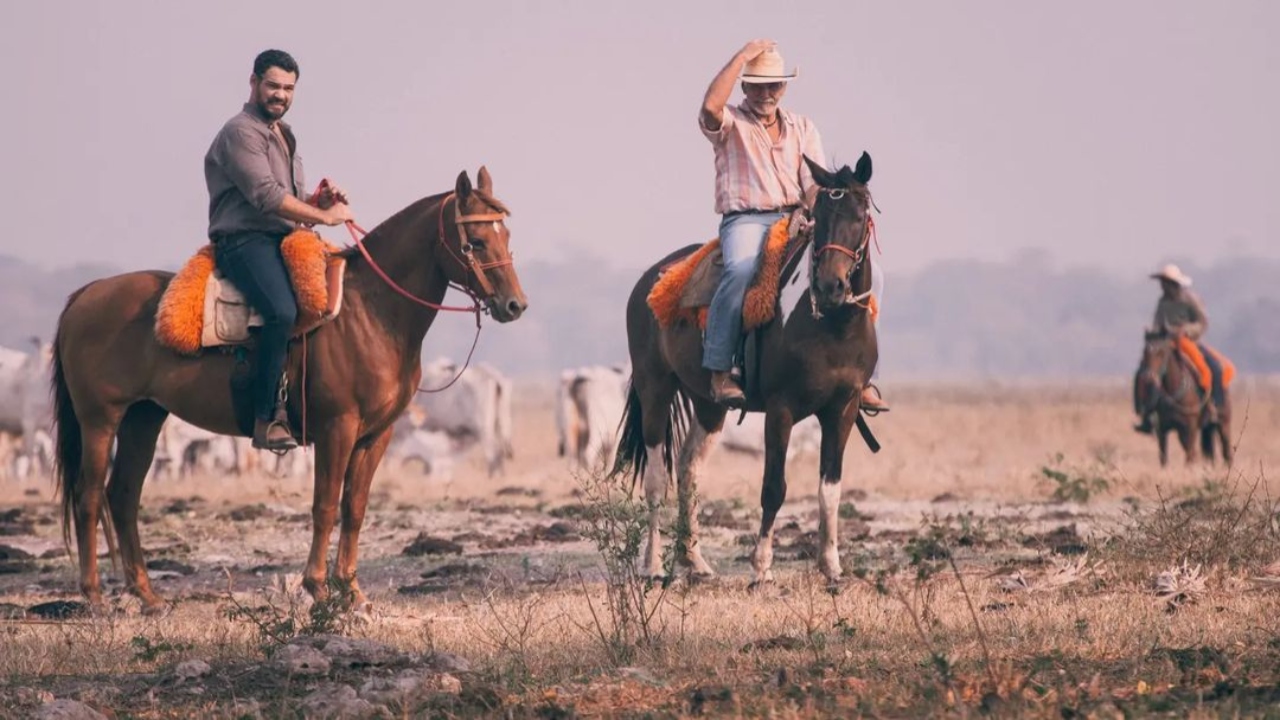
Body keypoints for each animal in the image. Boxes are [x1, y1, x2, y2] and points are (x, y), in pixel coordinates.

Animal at [52, 166, 527, 609]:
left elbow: (355, 507)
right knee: (89, 498)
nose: (514, 305)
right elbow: (325, 505)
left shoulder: (376, 435)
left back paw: (148, 596)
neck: (370, 312)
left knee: (123, 495)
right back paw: (94, 596)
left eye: (505, 235)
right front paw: (317, 586)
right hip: (100, 420)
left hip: (144, 417)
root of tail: (86, 295)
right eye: (476, 241)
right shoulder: (337, 429)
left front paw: (351, 591)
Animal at [611, 149, 880, 584]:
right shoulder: (781, 409)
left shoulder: (843, 409)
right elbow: (774, 486)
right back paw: (652, 565)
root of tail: (649, 281)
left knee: (688, 469)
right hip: (655, 389)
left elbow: (830, 487)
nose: (830, 286)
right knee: (655, 477)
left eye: (860, 215)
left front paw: (831, 567)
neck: (833, 326)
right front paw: (761, 568)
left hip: (710, 404)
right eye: (820, 217)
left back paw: (695, 561)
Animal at [1136, 330, 1233, 466]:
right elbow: (1164, 458)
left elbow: (1190, 456)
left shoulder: (1190, 428)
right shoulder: (1162, 429)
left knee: (1226, 453)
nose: (1149, 377)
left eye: (1161, 352)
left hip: (1224, 424)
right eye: (1145, 352)